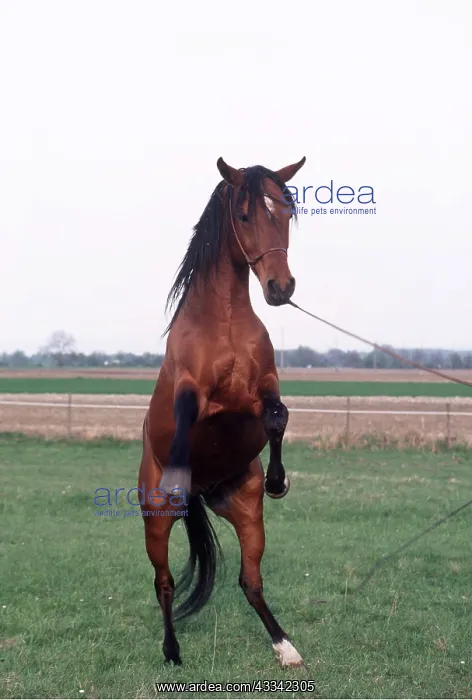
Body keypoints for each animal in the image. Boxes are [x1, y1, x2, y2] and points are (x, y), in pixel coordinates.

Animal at [138, 156, 307, 668]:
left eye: (287, 212)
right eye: (246, 215)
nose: (280, 287)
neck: (225, 323)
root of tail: (204, 491)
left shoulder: (263, 390)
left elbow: (277, 417)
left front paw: (278, 480)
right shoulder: (192, 393)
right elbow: (186, 418)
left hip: (248, 515)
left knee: (250, 581)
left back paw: (285, 646)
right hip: (155, 523)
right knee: (165, 583)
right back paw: (171, 651)